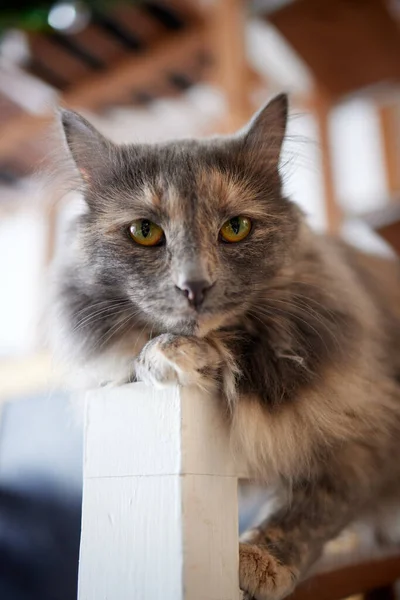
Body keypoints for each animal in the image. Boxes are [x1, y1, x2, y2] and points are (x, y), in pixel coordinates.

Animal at [54, 96, 400, 596]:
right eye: (144, 232)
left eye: (236, 228)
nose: (195, 286)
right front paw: (168, 356)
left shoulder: (365, 441)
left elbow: (306, 510)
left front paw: (260, 560)